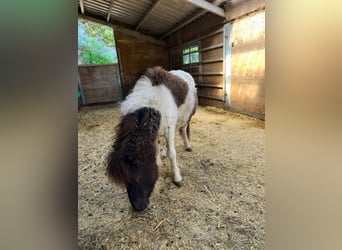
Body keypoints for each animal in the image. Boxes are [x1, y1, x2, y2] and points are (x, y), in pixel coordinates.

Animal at [107, 66, 198, 211]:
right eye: (125, 182)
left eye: (136, 179)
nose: (138, 207)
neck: (151, 104)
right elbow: (156, 149)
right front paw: (159, 159)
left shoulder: (169, 128)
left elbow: (172, 154)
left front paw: (177, 178)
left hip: (185, 116)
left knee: (183, 129)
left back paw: (187, 145)